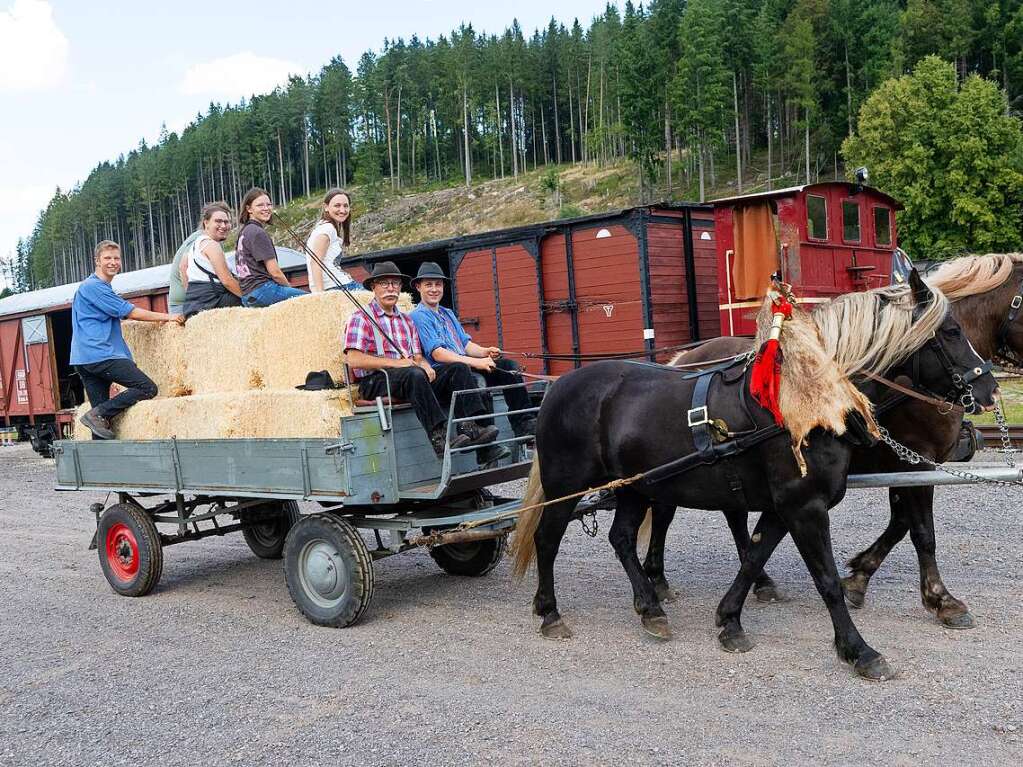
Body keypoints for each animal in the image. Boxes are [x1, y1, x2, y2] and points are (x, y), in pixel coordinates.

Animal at [515, 274, 994, 683]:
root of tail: (557, 387)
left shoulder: (784, 507)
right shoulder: (805, 506)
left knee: (621, 539)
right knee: (547, 539)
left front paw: (729, 620)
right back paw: (550, 612)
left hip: (635, 487)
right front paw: (859, 650)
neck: (811, 396)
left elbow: (753, 556)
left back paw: (650, 608)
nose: (987, 389)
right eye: (951, 331)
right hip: (566, 486)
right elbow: (827, 581)